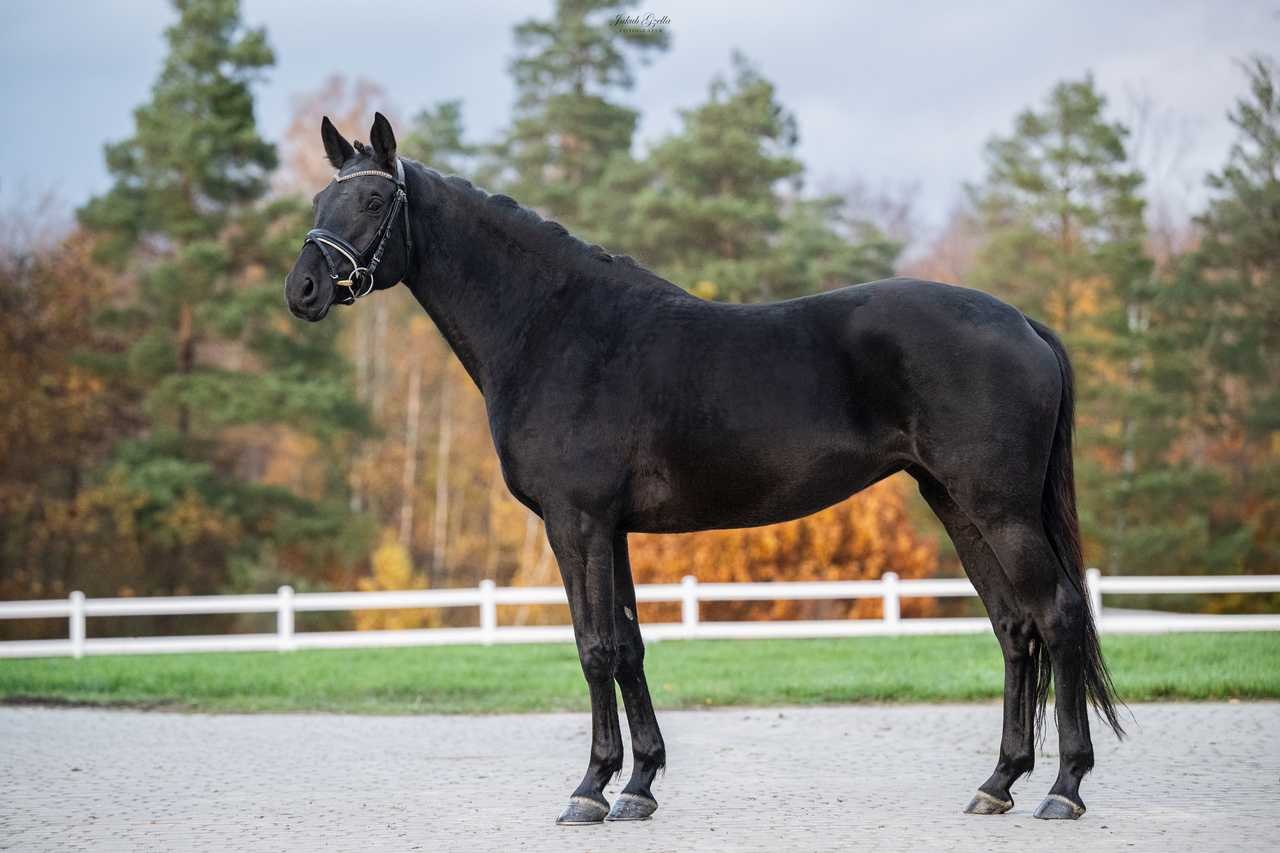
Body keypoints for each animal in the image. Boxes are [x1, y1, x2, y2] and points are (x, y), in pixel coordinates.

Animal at [284, 113, 1124, 826]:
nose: (303, 290)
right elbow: (628, 645)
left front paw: (589, 789)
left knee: (1058, 614)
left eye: (370, 198)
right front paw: (638, 786)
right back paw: (998, 782)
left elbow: (594, 647)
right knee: (1015, 627)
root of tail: (1022, 322)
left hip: (1000, 508)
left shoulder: (576, 521)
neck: (555, 329)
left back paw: (1064, 788)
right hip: (956, 504)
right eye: (322, 197)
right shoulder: (611, 529)